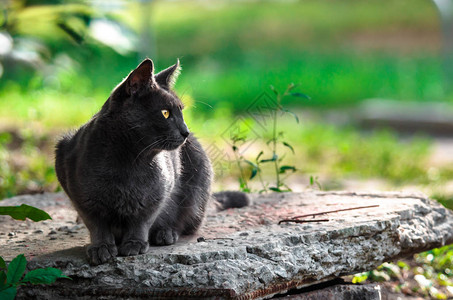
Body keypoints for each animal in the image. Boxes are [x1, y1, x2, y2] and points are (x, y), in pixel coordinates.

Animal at [55, 58, 247, 264]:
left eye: (181, 111)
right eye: (165, 113)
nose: (186, 131)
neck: (128, 162)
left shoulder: (159, 193)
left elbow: (142, 219)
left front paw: (135, 243)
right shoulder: (79, 193)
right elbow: (96, 224)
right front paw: (101, 247)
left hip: (197, 188)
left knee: (187, 222)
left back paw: (165, 233)